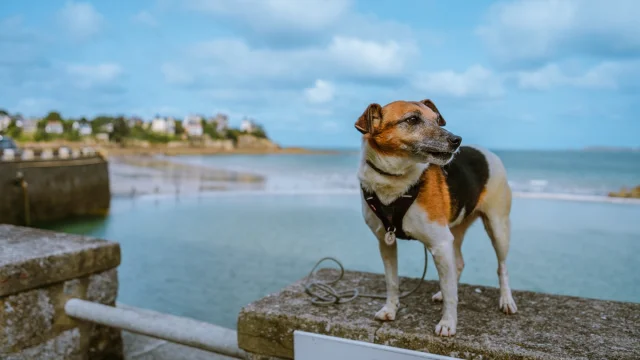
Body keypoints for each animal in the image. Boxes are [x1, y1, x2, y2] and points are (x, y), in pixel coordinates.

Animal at [358, 99, 516, 338]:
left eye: (437, 119)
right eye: (413, 119)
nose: (457, 139)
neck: (395, 180)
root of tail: (486, 152)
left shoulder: (440, 243)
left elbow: (451, 293)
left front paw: (448, 323)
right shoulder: (385, 242)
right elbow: (392, 281)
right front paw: (390, 310)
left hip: (498, 227)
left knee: (502, 267)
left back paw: (506, 300)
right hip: (456, 228)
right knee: (457, 264)